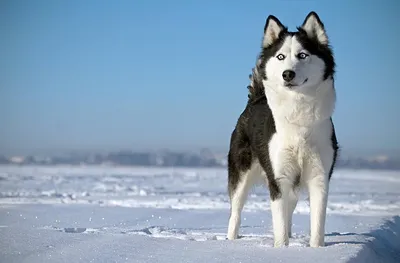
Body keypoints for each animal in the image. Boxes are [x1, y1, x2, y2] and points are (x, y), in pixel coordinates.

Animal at [228, 10, 338, 250]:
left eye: (303, 55)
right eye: (280, 57)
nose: (287, 74)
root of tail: (256, 99)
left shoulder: (319, 177)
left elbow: (317, 227)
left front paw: (317, 251)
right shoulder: (278, 179)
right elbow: (278, 226)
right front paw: (282, 250)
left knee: (288, 211)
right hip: (241, 173)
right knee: (235, 211)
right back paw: (230, 240)